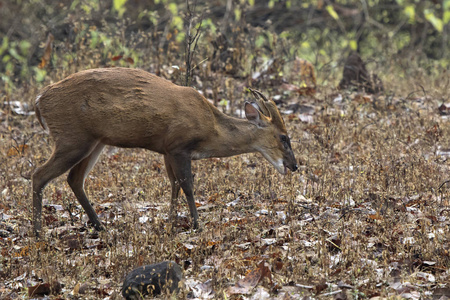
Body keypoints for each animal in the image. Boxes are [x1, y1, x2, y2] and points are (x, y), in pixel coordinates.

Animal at [32, 68, 298, 237]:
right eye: (284, 137)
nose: (294, 165)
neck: (211, 128)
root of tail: (39, 99)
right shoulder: (179, 146)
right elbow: (187, 185)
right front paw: (197, 225)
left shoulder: (167, 150)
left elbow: (174, 184)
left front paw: (170, 222)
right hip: (72, 137)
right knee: (39, 175)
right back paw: (37, 232)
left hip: (94, 141)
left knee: (74, 179)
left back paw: (100, 226)